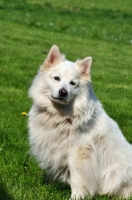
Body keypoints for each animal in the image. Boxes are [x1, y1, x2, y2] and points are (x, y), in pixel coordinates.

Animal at [28, 44, 132, 199]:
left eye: (73, 83)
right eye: (56, 78)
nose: (63, 92)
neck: (61, 115)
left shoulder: (78, 153)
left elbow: (77, 178)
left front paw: (76, 196)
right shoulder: (53, 147)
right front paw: (48, 188)